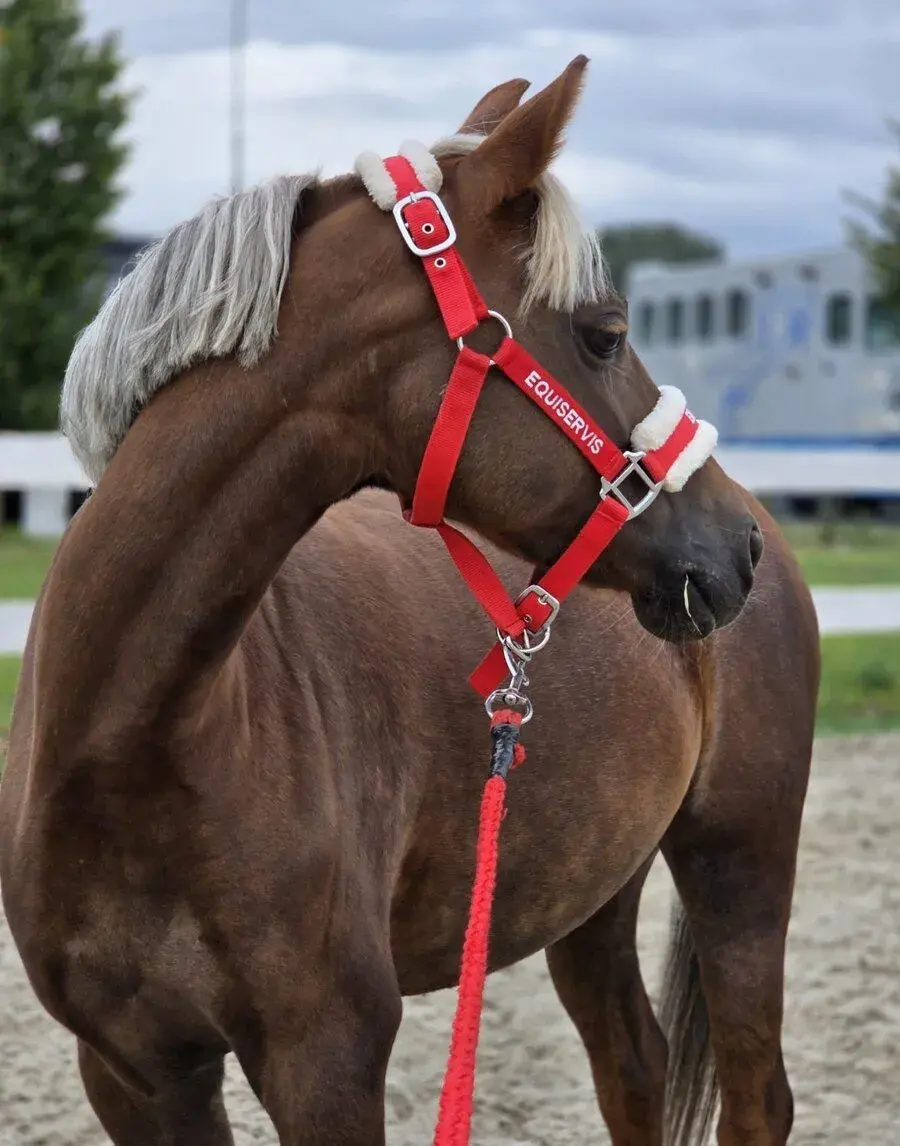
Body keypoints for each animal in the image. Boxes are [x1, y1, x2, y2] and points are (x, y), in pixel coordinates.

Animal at [0, 57, 819, 1146]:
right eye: (604, 334)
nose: (737, 548)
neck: (131, 741)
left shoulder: (327, 1061)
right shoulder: (133, 1072)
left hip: (740, 862)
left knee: (756, 1095)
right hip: (593, 885)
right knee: (634, 1066)